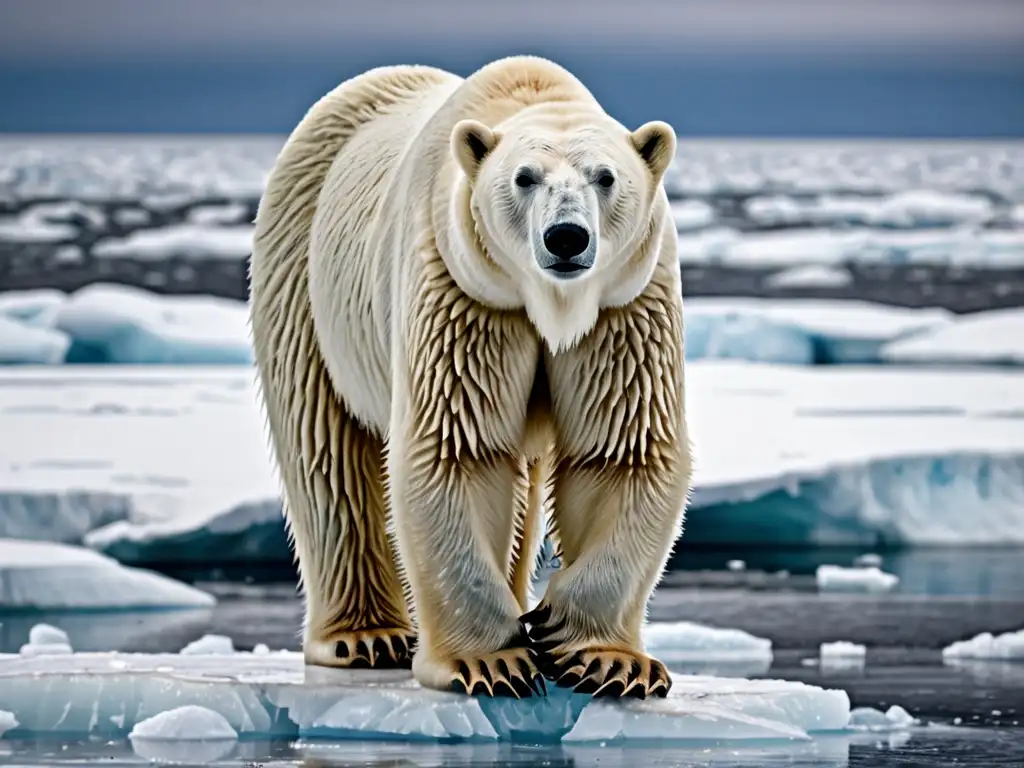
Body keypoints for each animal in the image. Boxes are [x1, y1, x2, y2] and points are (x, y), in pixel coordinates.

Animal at [250, 55, 692, 704]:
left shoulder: (624, 302)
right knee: (325, 448)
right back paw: (365, 637)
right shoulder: (464, 288)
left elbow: (620, 451)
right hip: (304, 267)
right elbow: (458, 448)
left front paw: (602, 657)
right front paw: (491, 662)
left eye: (606, 176)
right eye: (525, 178)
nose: (566, 237)